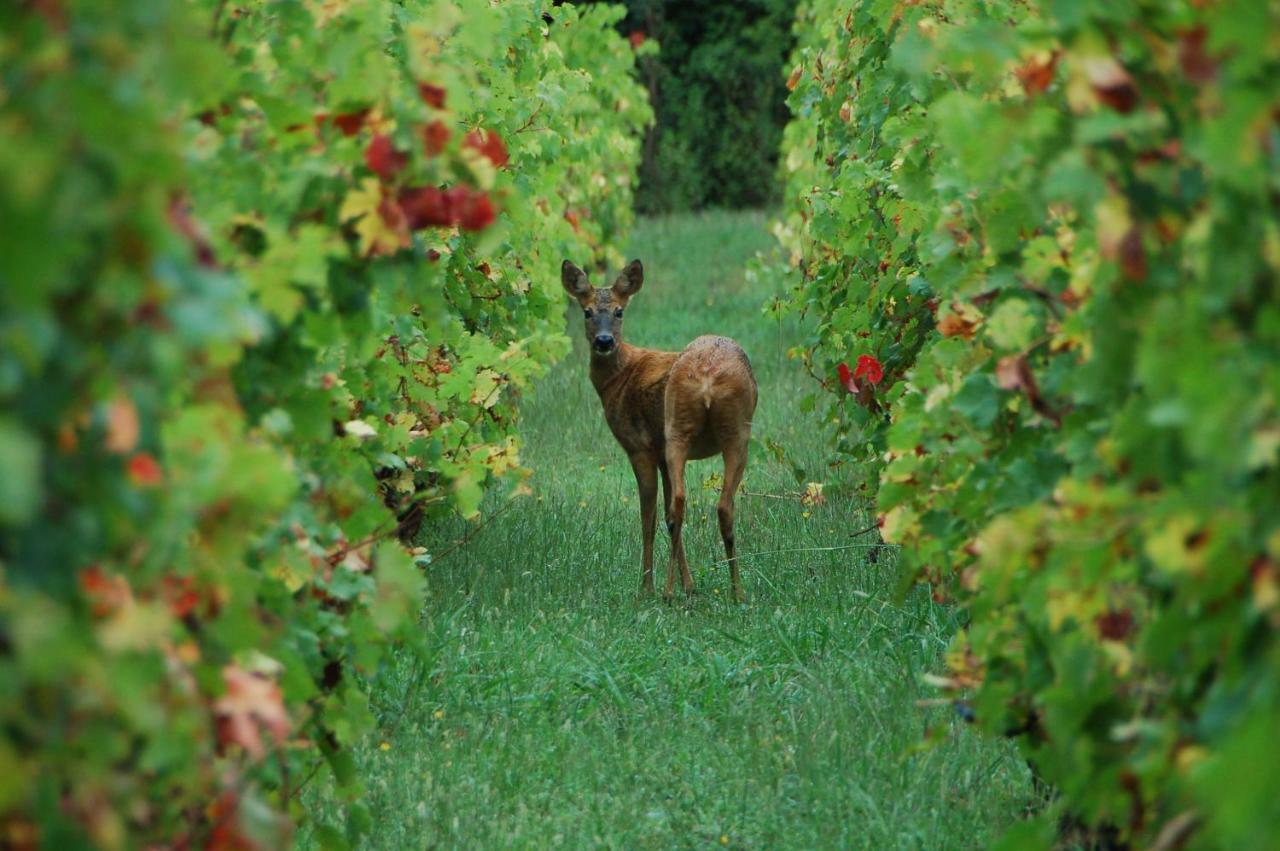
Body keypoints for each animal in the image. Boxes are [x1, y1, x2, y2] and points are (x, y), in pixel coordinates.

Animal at [563, 255, 757, 601]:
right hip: (722, 432)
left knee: (680, 507)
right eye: (586, 311)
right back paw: (734, 592)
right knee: (710, 505)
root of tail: (707, 378)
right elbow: (667, 513)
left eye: (619, 311)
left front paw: (646, 587)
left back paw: (665, 591)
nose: (604, 341)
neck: (620, 378)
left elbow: (648, 517)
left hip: (705, 430)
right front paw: (689, 586)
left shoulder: (639, 446)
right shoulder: (661, 450)